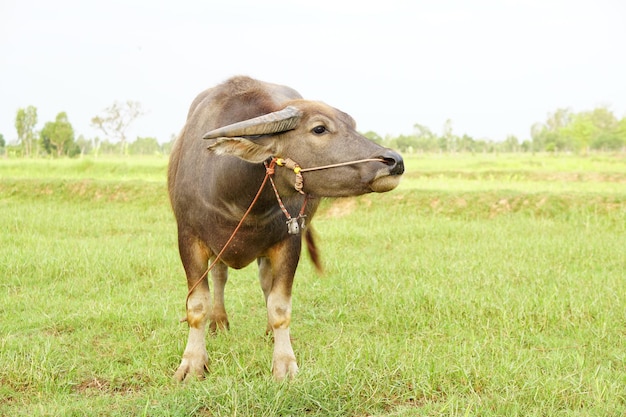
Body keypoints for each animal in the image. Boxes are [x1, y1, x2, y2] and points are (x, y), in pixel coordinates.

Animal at [168, 75, 402, 380]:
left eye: (352, 125)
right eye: (319, 128)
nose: (395, 162)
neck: (236, 195)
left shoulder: (290, 242)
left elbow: (279, 306)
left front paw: (284, 363)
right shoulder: (189, 239)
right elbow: (197, 306)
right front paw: (192, 364)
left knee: (265, 284)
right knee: (220, 276)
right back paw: (219, 322)